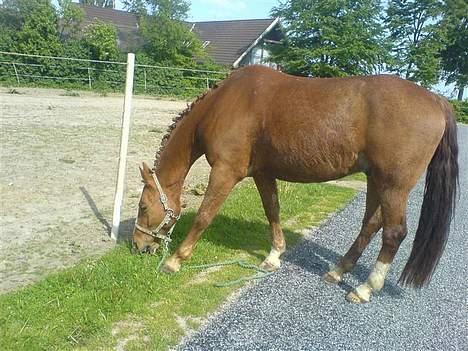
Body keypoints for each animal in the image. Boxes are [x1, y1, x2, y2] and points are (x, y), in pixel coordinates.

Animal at [132, 65, 458, 302]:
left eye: (143, 206)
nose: (138, 246)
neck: (224, 104)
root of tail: (437, 100)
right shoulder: (263, 173)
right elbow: (272, 211)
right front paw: (274, 256)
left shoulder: (225, 172)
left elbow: (204, 216)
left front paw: (176, 261)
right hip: (375, 180)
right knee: (370, 224)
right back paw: (338, 271)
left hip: (394, 186)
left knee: (394, 233)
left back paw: (365, 288)